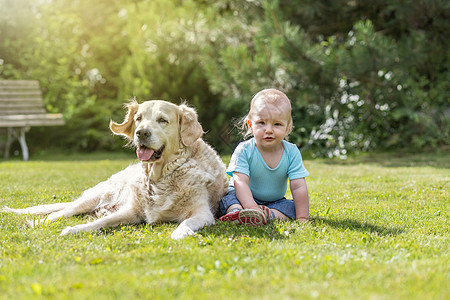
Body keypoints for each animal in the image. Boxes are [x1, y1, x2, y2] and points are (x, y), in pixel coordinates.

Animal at [2, 99, 229, 240]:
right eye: (138, 118)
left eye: (163, 120)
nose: (141, 132)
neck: (159, 177)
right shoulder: (132, 210)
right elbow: (99, 223)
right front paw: (75, 229)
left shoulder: (202, 212)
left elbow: (186, 222)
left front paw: (180, 233)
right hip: (96, 196)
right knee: (62, 212)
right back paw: (40, 222)